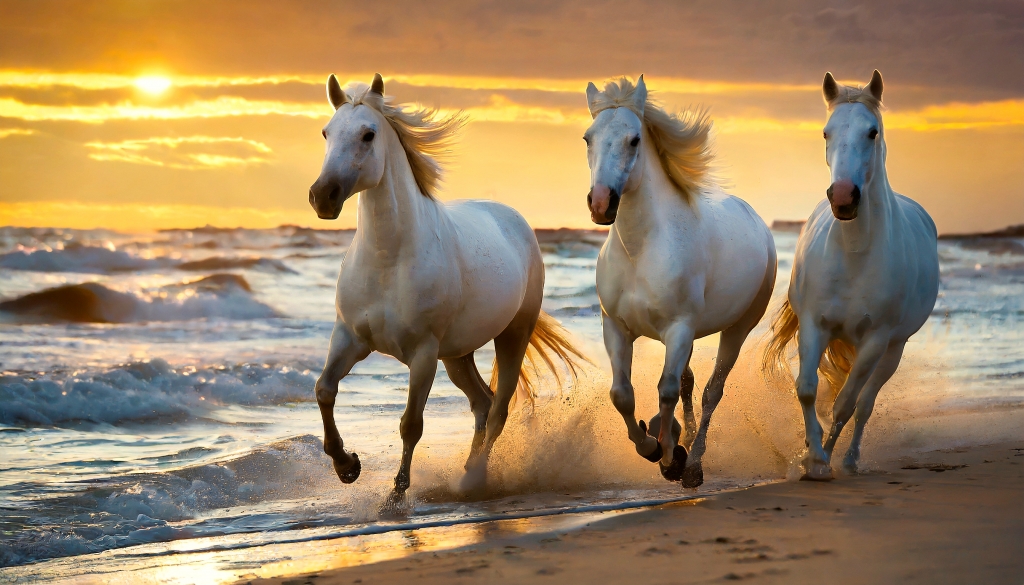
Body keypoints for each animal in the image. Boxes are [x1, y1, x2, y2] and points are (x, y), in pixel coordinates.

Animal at [308, 73, 586, 495]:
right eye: (326, 132)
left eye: (368, 134)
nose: (323, 196)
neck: (388, 259)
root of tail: (515, 219)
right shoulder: (350, 338)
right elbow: (324, 389)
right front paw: (347, 466)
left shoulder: (422, 354)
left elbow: (411, 424)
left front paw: (396, 494)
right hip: (456, 355)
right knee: (483, 403)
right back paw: (469, 469)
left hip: (511, 336)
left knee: (499, 408)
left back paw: (473, 478)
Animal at [583, 76, 777, 488]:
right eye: (588, 138)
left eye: (634, 140)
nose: (601, 203)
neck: (641, 250)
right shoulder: (616, 327)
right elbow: (622, 394)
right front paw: (651, 446)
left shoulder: (679, 329)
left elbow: (667, 391)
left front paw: (672, 459)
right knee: (689, 383)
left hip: (736, 328)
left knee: (711, 392)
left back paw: (694, 463)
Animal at [762, 70, 939, 480]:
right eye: (826, 132)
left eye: (872, 132)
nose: (843, 197)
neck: (855, 255)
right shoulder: (814, 325)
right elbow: (807, 389)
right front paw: (811, 456)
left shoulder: (876, 340)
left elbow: (846, 404)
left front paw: (822, 459)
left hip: (892, 350)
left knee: (864, 404)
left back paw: (850, 460)